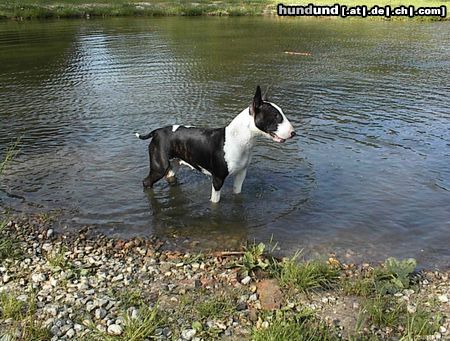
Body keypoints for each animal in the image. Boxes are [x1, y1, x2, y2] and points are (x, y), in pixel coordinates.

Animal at [134, 85, 296, 202]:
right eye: (276, 116)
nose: (293, 133)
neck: (239, 139)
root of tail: (157, 131)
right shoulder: (217, 179)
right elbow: (215, 203)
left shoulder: (241, 175)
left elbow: (237, 193)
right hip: (159, 167)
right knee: (146, 182)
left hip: (173, 164)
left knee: (170, 176)